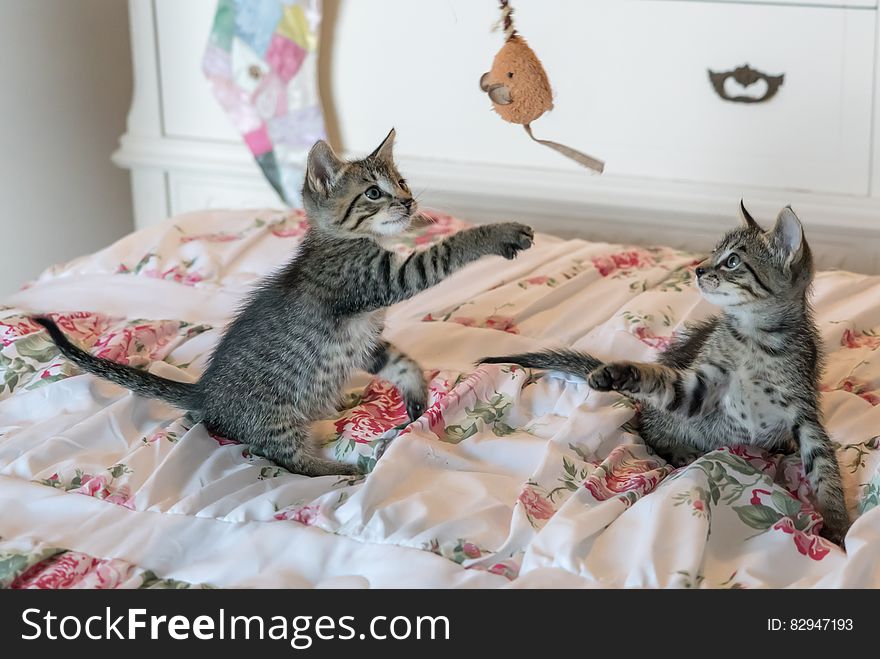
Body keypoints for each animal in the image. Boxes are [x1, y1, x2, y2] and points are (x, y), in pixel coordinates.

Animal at [34, 129, 536, 476]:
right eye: (374, 192)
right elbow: (447, 250)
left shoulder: (364, 339)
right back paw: (341, 470)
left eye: (401, 180)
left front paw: (416, 394)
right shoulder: (380, 281)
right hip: (276, 417)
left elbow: (402, 362)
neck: (342, 240)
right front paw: (499, 232)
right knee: (285, 459)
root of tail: (204, 392)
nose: (410, 202)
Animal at [484, 204, 848, 544]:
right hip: (671, 421)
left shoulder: (804, 412)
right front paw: (616, 372)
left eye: (732, 261)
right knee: (648, 427)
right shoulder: (700, 388)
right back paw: (679, 449)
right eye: (714, 252)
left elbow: (824, 468)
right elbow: (659, 380)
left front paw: (838, 524)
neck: (754, 339)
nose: (698, 268)